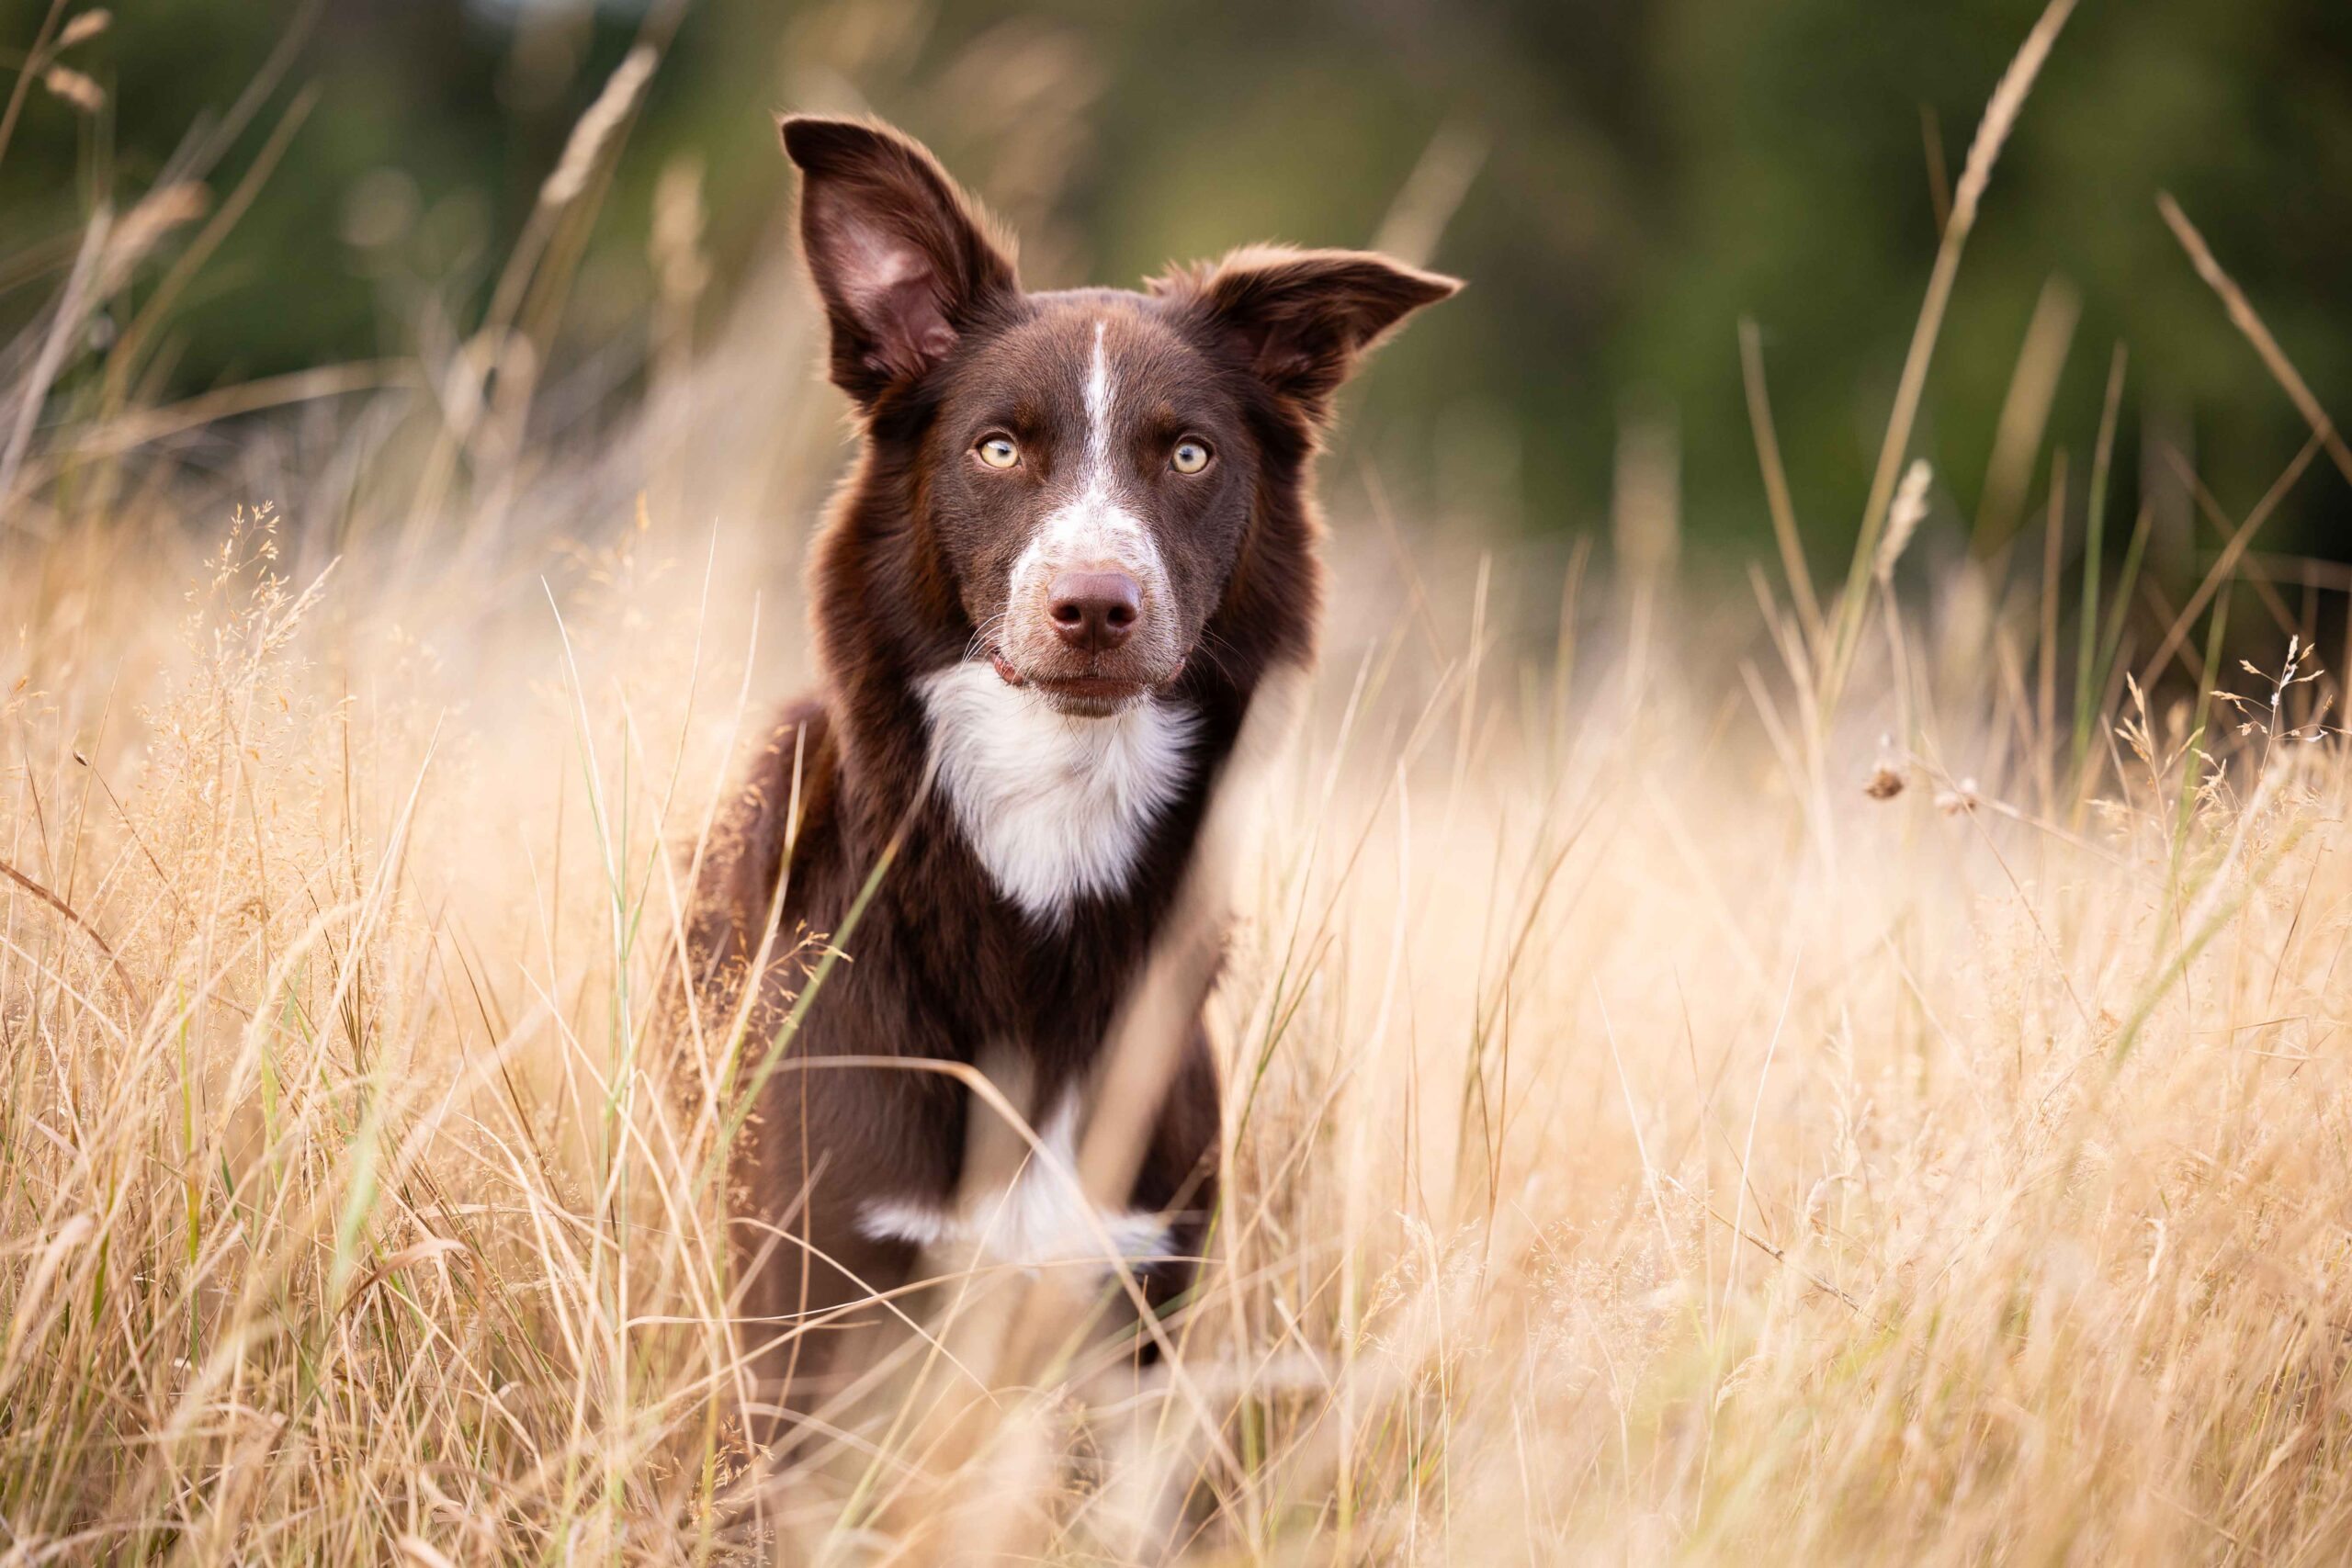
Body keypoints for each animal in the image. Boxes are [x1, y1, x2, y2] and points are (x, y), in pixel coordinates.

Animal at [686, 116, 1448, 1429]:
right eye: (998, 448)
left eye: (1189, 454)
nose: (1095, 607)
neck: (1049, 817)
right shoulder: (812, 1306)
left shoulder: (1139, 1306)